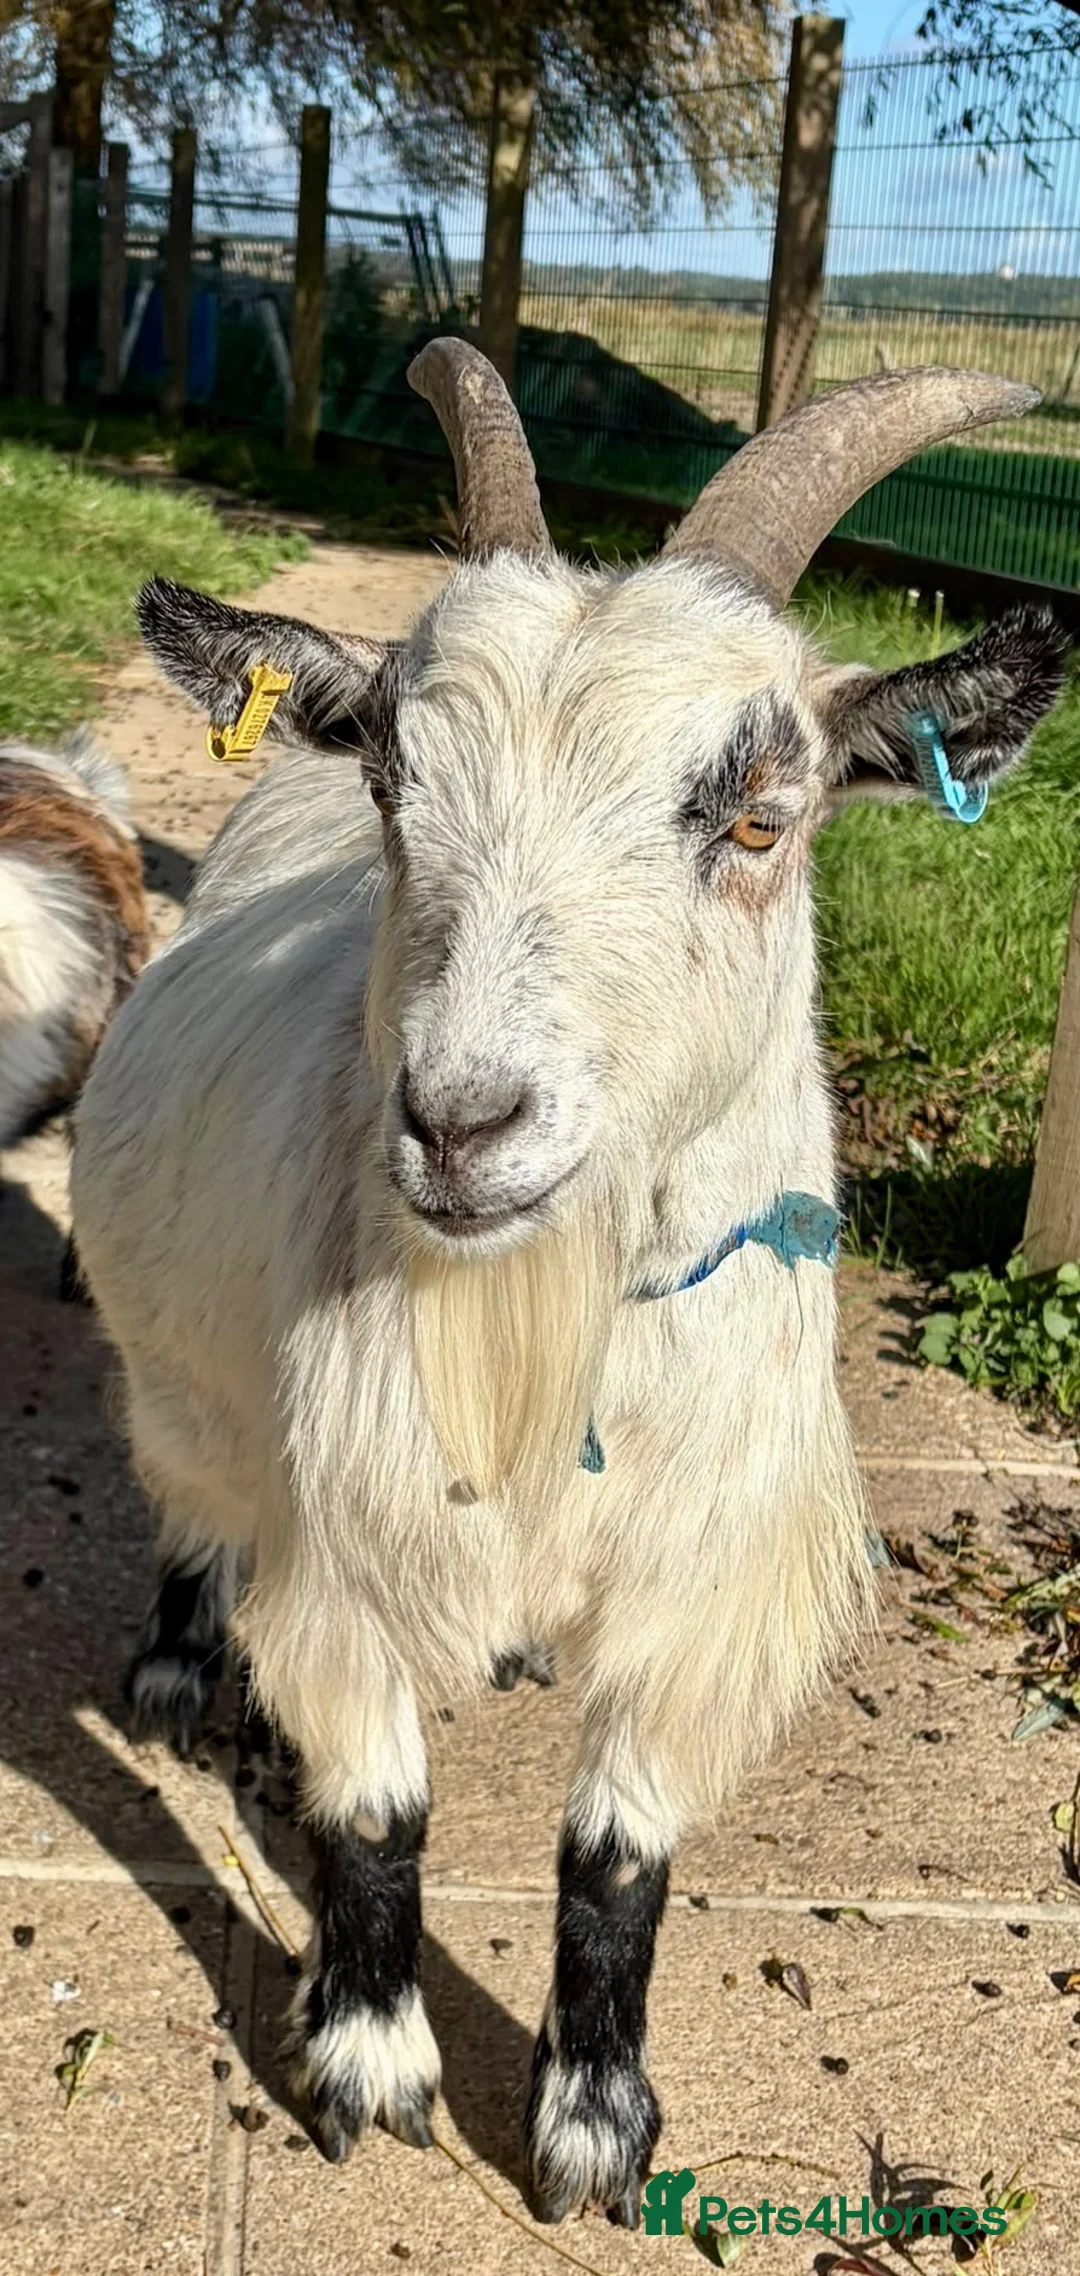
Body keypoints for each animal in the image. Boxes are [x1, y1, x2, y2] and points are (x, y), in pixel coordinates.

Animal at [71, 346, 1067, 2223]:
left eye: (760, 814)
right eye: (397, 783)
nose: (463, 1122)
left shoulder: (708, 1578)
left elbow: (620, 1854)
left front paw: (596, 2132)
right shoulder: (343, 1537)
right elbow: (374, 1815)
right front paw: (369, 2067)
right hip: (178, 1368)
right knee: (188, 1482)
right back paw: (173, 1662)